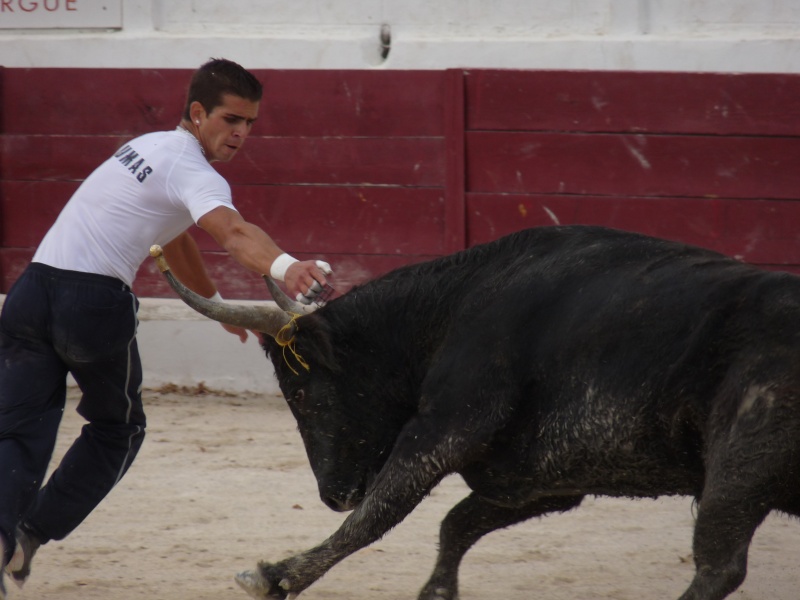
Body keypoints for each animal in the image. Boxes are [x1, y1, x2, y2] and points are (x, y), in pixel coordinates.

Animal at [156, 226, 800, 600]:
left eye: (302, 393)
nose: (332, 494)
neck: (454, 307)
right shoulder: (541, 480)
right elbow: (456, 524)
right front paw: (436, 594)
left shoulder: (443, 427)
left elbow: (376, 517)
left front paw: (274, 575)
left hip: (739, 468)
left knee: (719, 566)